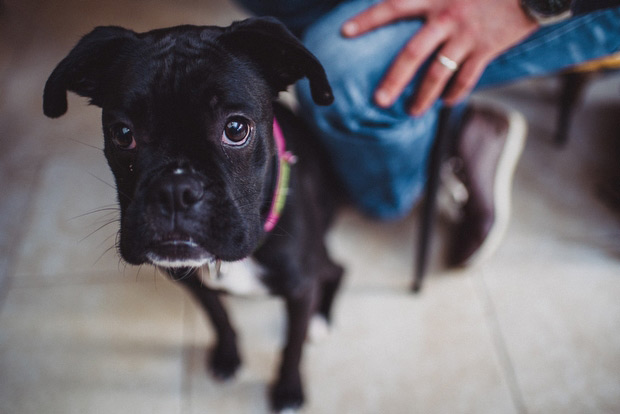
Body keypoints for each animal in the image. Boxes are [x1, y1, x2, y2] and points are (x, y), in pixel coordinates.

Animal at [43, 17, 344, 412]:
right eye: (122, 134)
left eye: (236, 129)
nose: (175, 190)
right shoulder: (192, 284)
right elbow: (219, 319)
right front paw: (228, 357)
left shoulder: (299, 289)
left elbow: (291, 346)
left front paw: (288, 390)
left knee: (336, 271)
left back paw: (320, 319)